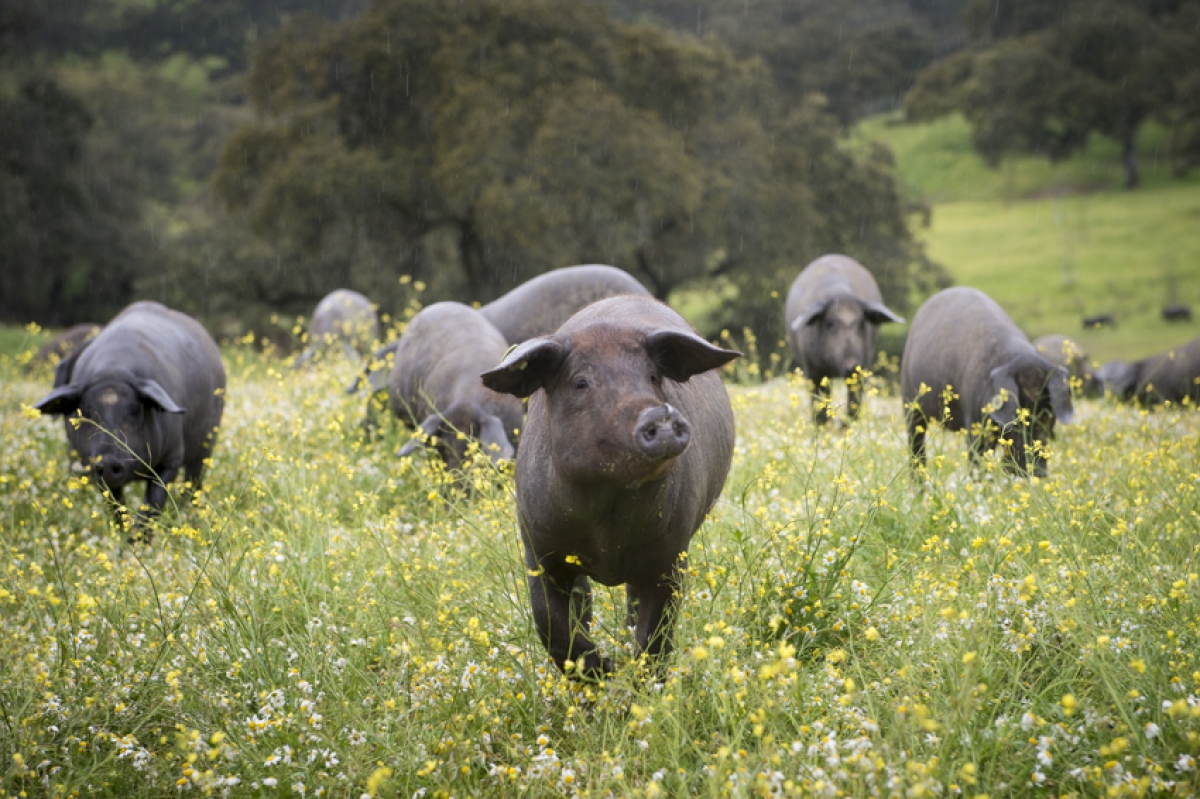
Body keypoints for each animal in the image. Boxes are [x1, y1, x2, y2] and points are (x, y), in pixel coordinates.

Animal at [480, 295, 739, 676]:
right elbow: (551, 625)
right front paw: (605, 670)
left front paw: (632, 679)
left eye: (652, 376)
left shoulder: (672, 554)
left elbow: (654, 638)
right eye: (580, 382)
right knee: (584, 598)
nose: (659, 414)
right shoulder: (537, 547)